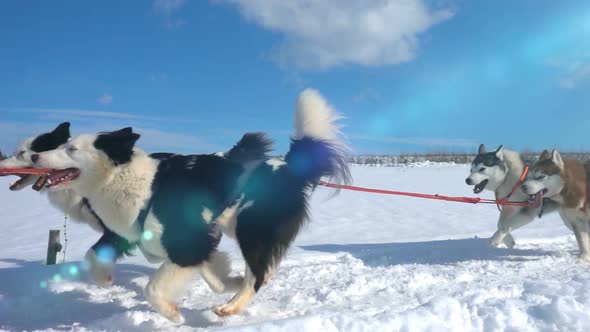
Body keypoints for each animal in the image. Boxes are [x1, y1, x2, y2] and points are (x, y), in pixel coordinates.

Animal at [32, 89, 352, 322]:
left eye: (71, 148)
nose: (35, 156)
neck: (131, 180)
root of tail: (289, 166)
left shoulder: (186, 242)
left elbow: (153, 288)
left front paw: (173, 314)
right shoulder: (197, 241)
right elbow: (214, 277)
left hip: (251, 227)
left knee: (258, 275)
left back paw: (230, 308)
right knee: (262, 270)